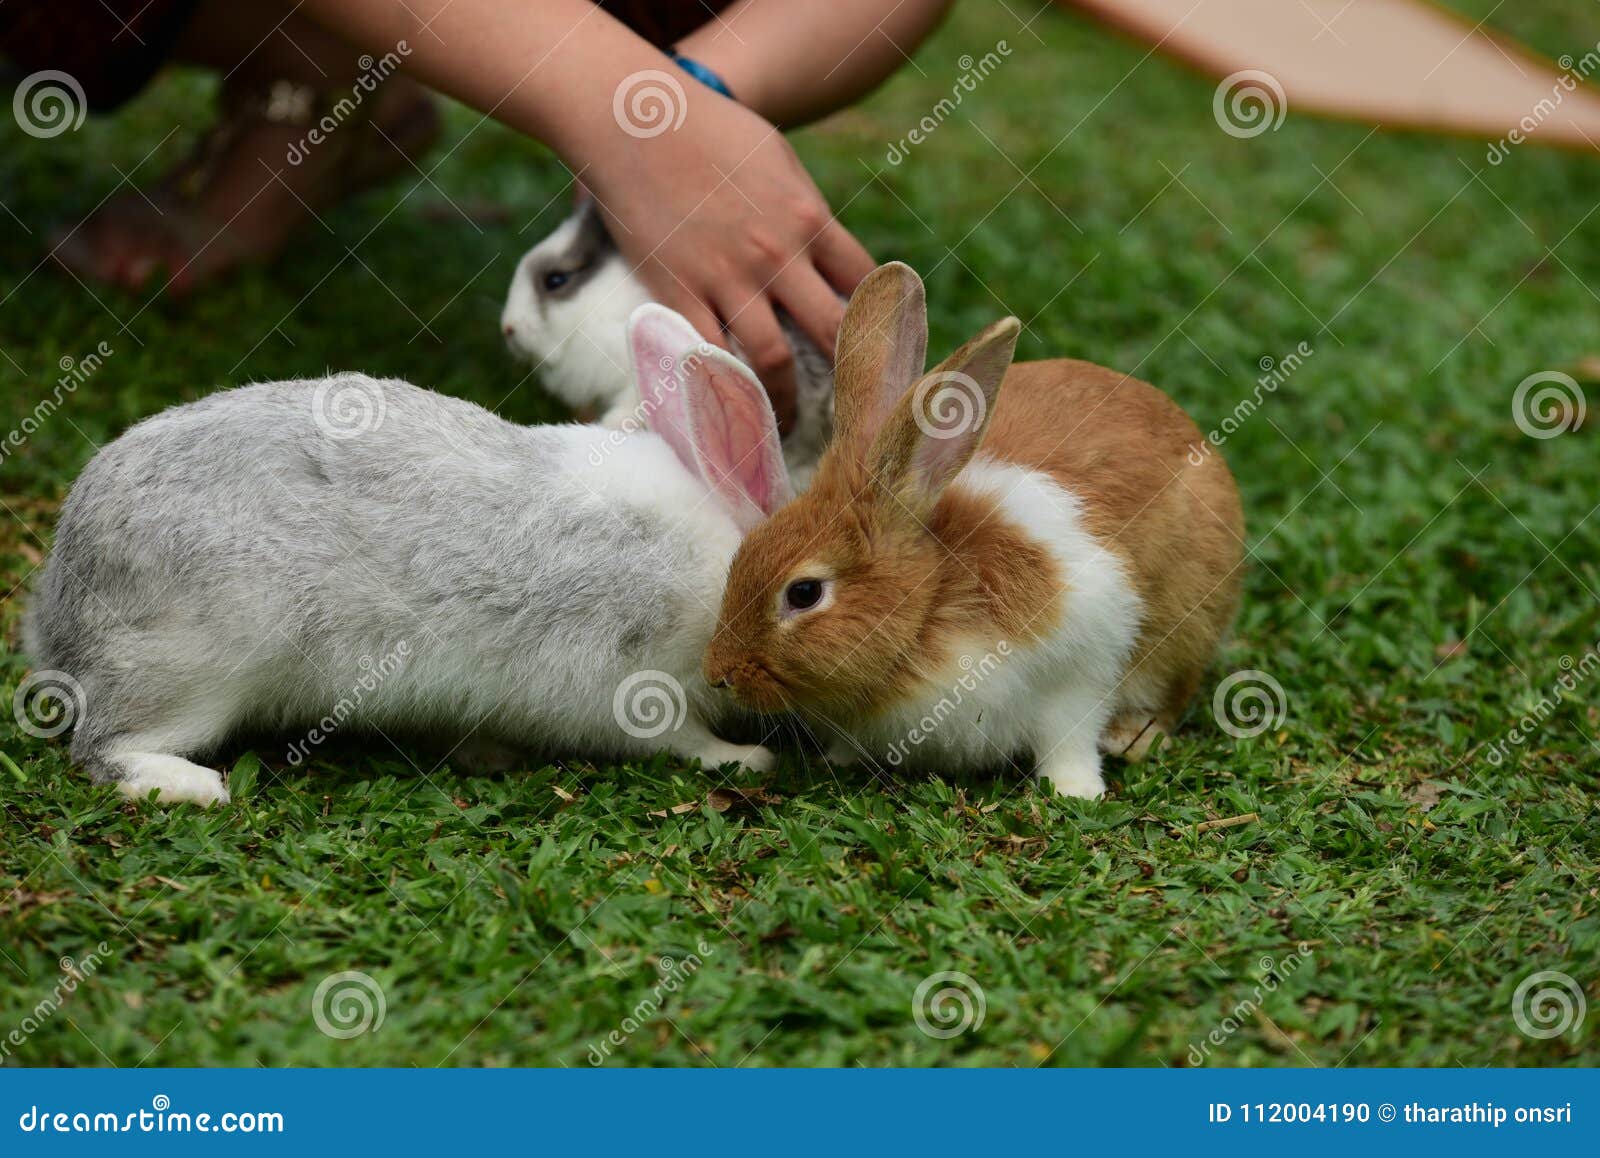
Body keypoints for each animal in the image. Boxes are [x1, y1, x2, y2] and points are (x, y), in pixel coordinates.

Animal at [21, 307, 796, 806]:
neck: (719, 566)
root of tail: (63, 603)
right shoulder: (634, 680)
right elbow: (681, 740)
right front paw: (746, 758)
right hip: (194, 669)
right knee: (102, 748)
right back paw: (192, 787)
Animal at [704, 262, 1248, 796]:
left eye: (804, 593)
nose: (719, 674)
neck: (931, 605)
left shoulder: (1080, 665)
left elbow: (1070, 734)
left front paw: (1076, 790)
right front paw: (838, 759)